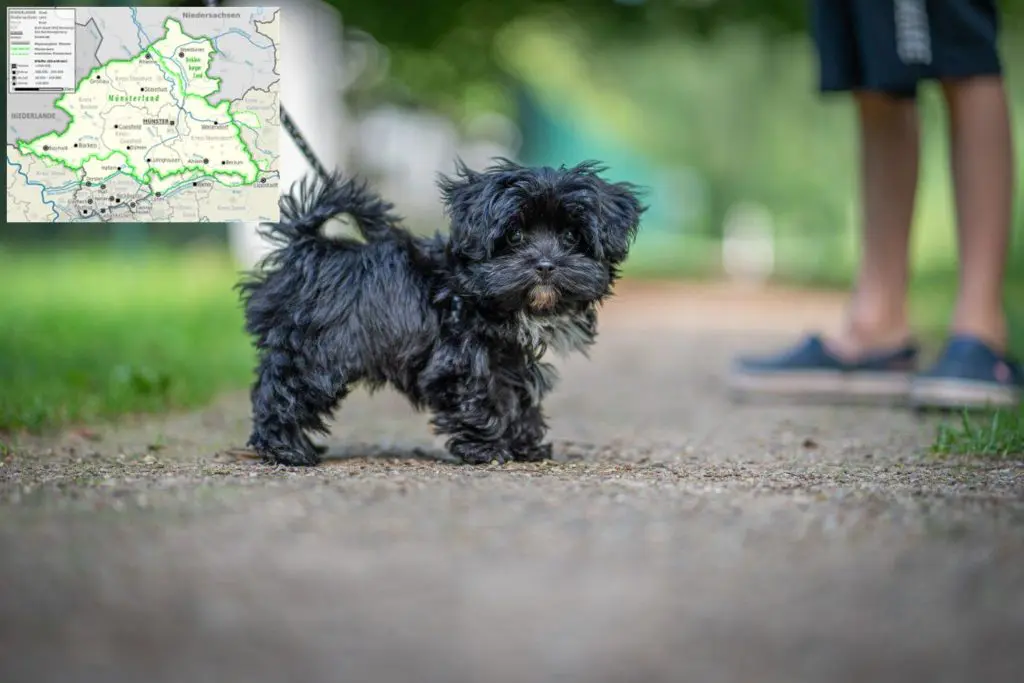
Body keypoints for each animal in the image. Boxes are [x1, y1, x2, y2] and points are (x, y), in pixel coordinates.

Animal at [235, 160, 643, 464]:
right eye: (514, 236)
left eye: (571, 237)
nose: (545, 264)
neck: (476, 288)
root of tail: (308, 248)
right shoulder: (461, 358)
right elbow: (482, 397)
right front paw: (488, 449)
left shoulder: (507, 355)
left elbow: (516, 395)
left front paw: (526, 444)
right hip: (318, 350)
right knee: (283, 388)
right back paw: (287, 450)